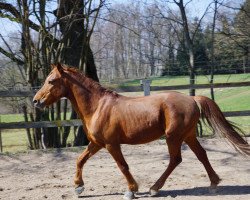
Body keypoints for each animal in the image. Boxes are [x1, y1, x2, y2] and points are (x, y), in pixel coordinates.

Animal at [33, 63, 250, 199]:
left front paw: (131, 190)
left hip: (173, 137)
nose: (36, 101)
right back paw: (213, 183)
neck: (97, 107)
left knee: (176, 159)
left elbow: (123, 166)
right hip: (188, 135)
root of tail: (192, 99)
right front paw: (78, 187)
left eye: (51, 81)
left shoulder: (111, 144)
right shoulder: (96, 143)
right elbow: (80, 160)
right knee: (201, 155)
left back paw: (155, 188)